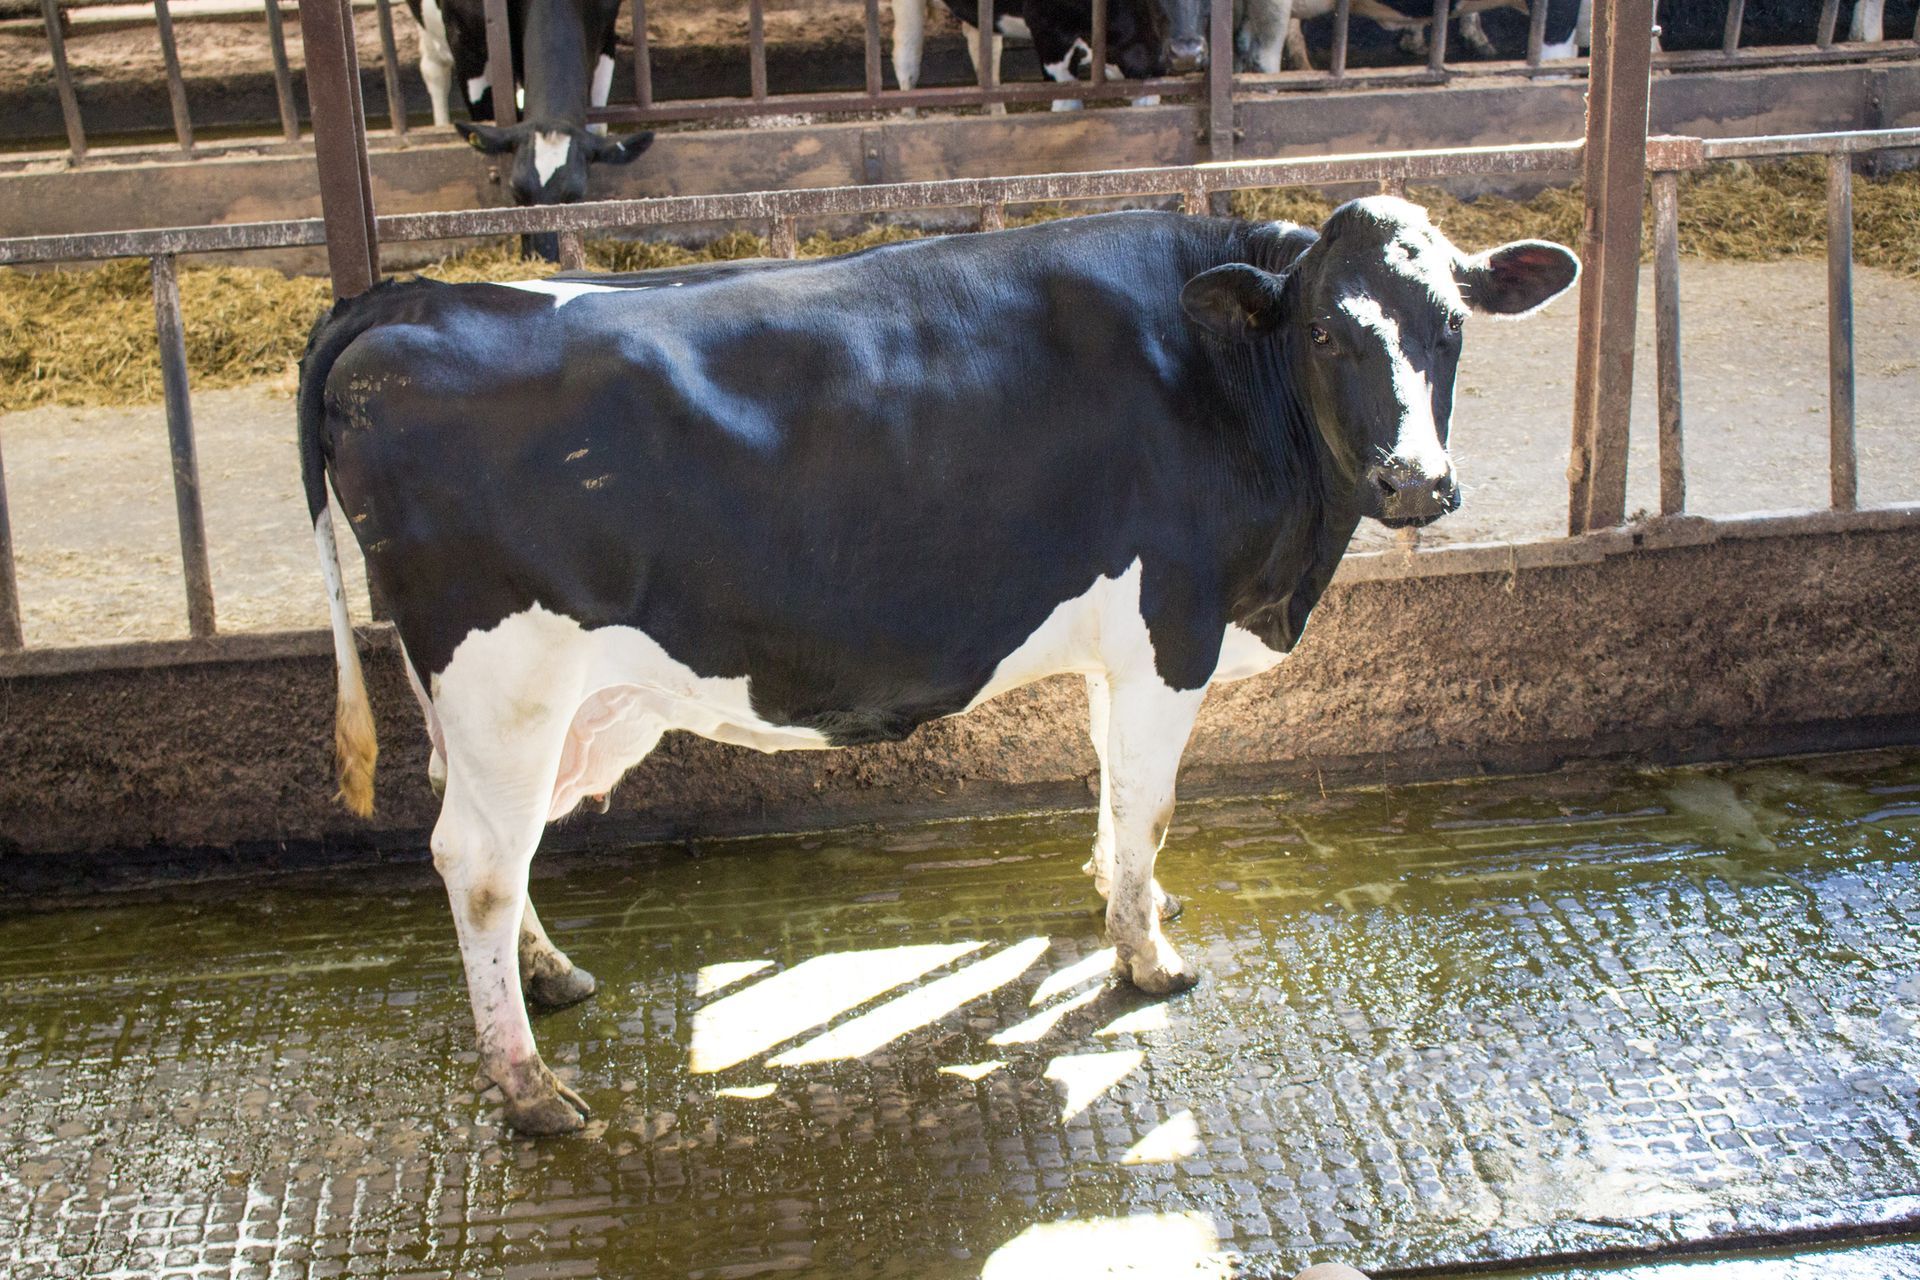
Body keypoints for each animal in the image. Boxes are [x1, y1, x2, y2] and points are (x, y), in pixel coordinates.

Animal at [298, 198, 1578, 1134]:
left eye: (1451, 327)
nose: (1417, 481)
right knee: (475, 859)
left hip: (524, 704)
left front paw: (1124, 897)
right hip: (505, 677)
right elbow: (1151, 800)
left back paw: (552, 977)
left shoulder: (1120, 644)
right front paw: (1150, 956)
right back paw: (529, 1087)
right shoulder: (1174, 626)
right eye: (1324, 331)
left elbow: (1112, 784)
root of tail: (406, 301)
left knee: (486, 835)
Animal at [407, 0, 653, 255]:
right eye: (516, 191)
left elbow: (598, 128)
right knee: (434, 68)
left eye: (576, 194)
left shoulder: (605, 31)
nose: (545, 258)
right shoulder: (466, 39)